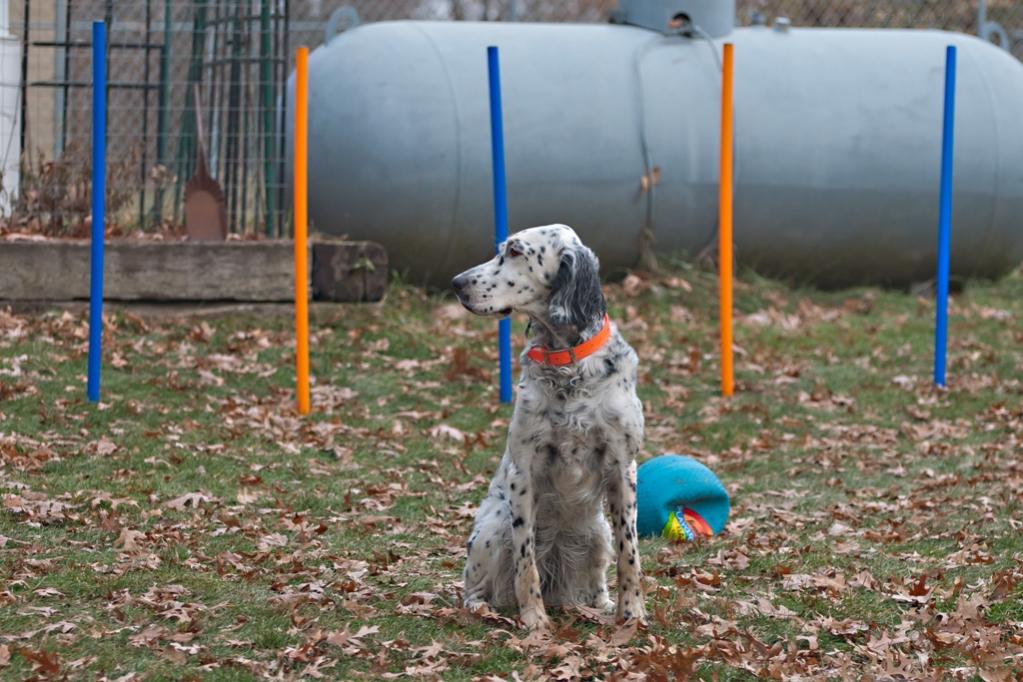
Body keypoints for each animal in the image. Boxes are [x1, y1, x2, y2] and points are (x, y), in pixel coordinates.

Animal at [450, 223, 642, 629]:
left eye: (516, 252)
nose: (456, 283)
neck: (568, 363)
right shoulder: (524, 470)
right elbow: (526, 563)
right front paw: (534, 619)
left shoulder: (624, 468)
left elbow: (629, 555)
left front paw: (632, 614)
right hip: (493, 528)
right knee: (474, 587)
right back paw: (482, 607)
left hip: (597, 532)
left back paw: (600, 606)